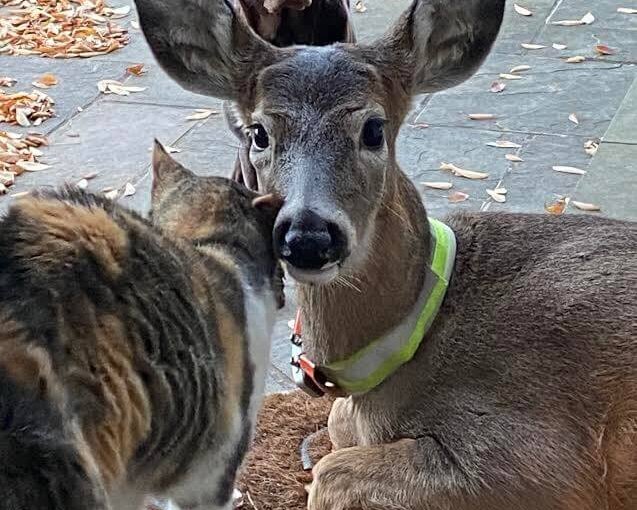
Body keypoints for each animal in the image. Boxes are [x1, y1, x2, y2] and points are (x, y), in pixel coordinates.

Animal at [133, 0, 636, 508]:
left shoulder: (535, 460)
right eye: (259, 133)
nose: (309, 236)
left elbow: (332, 471)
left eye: (374, 129)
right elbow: (336, 420)